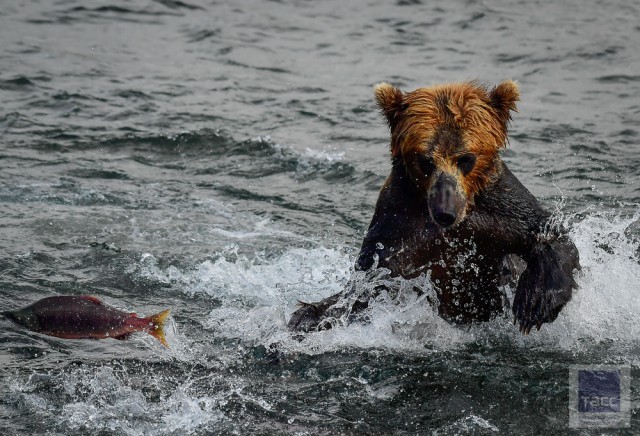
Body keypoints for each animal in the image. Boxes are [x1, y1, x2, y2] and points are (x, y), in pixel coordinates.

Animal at [290, 81, 580, 334]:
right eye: (426, 160)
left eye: (465, 158)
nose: (445, 212)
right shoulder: (398, 225)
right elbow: (369, 281)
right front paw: (311, 315)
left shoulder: (501, 210)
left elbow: (550, 233)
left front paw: (535, 302)